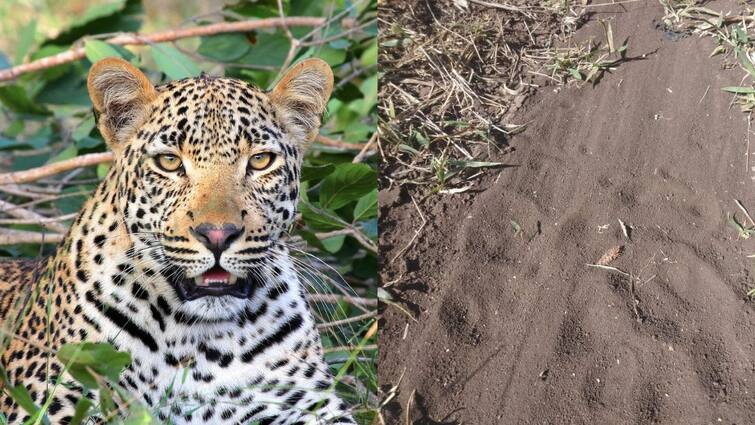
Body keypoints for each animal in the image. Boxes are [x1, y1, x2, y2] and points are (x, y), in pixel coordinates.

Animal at [0, 57, 358, 424]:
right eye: (169, 162)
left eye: (260, 161)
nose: (217, 235)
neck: (200, 344)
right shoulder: (55, 401)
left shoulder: (307, 404)